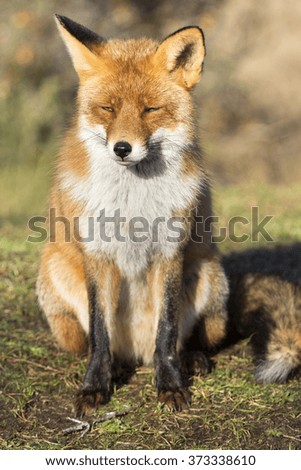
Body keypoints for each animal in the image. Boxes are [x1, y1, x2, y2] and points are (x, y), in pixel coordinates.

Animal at [36, 14, 227, 414]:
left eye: (150, 109)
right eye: (107, 108)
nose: (122, 148)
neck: (132, 207)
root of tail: (137, 355)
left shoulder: (170, 251)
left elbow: (167, 331)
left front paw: (170, 384)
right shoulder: (97, 253)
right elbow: (99, 332)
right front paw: (94, 386)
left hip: (210, 281)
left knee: (187, 340)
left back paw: (191, 359)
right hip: (56, 277)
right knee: (92, 343)